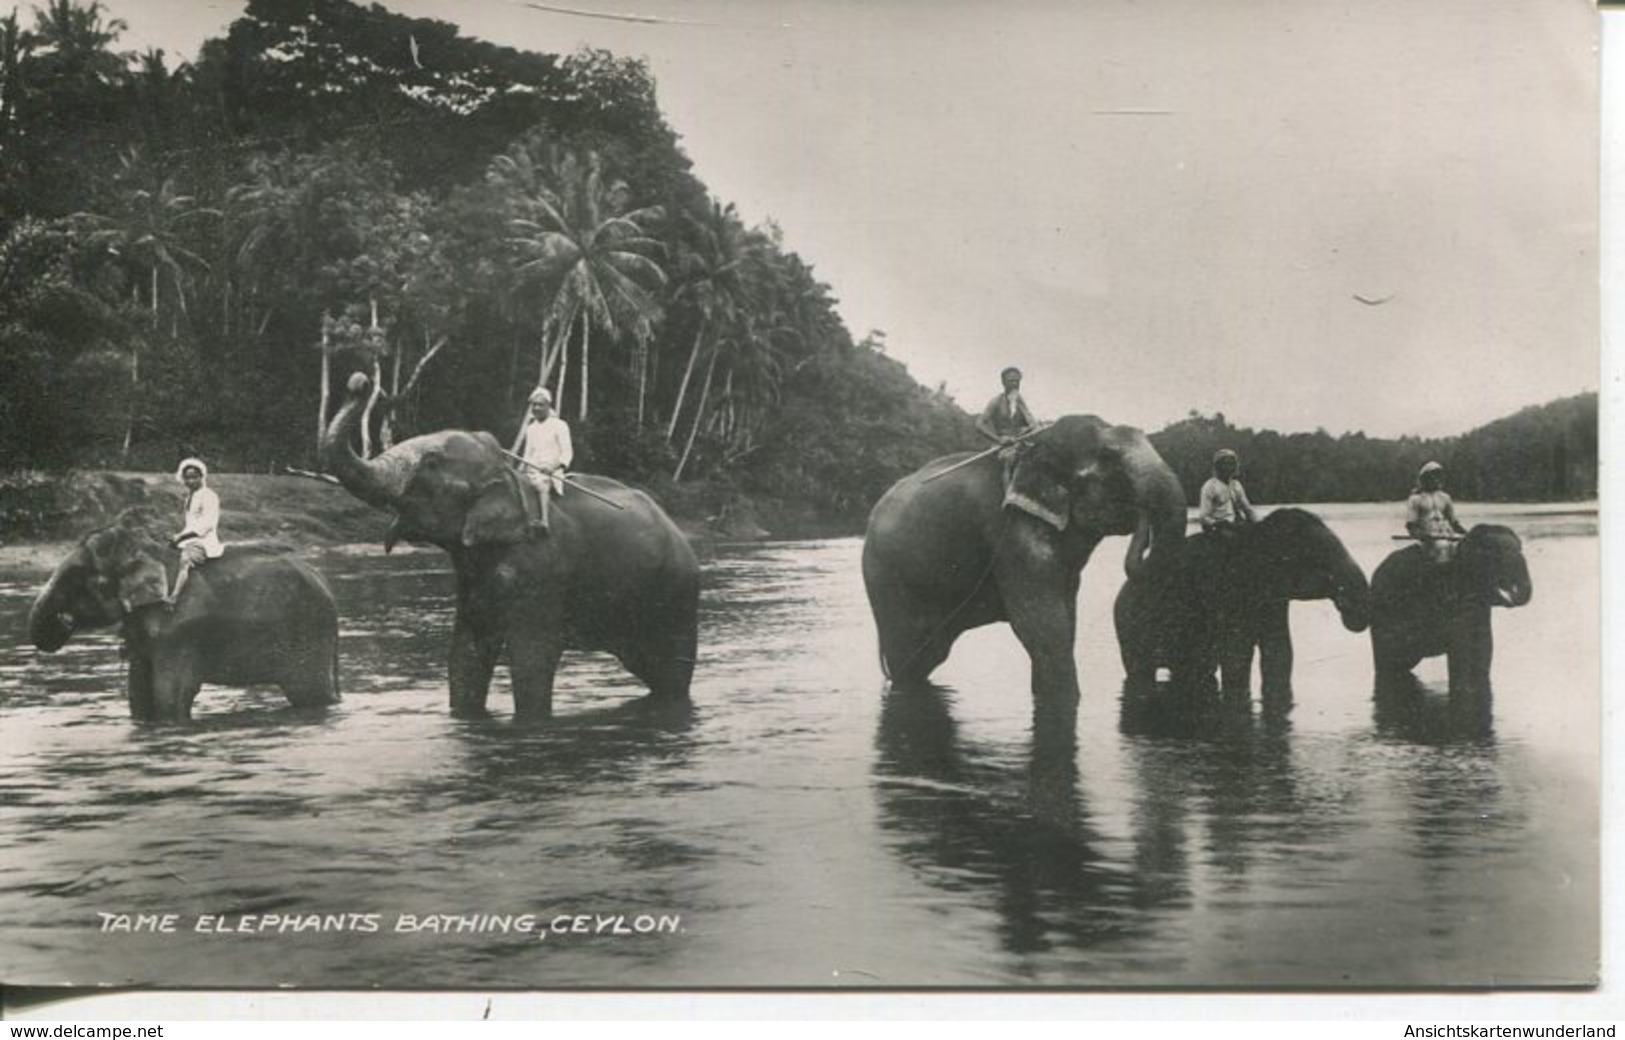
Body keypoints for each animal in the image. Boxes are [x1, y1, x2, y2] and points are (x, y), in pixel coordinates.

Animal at [27, 513, 339, 721]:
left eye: (95, 582)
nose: (63, 620)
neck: (149, 550)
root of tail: (325, 583)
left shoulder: (177, 634)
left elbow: (169, 695)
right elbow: (138, 695)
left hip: (308, 633)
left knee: (310, 693)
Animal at [320, 375, 695, 721]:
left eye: (431, 462)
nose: (359, 383)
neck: (508, 477)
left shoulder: (542, 572)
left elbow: (533, 657)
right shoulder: (473, 578)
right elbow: (466, 653)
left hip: (675, 597)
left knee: (672, 672)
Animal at [858, 409, 1189, 718]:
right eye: (1110, 458)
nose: (1143, 517)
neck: (1035, 447)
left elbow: (1064, 620)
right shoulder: (1012, 531)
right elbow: (1041, 624)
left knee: (930, 656)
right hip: (887, 580)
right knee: (910, 658)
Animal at [1111, 507, 1365, 708]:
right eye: (1318, 559)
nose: (1350, 609)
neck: (1257, 533)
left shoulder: (1274, 600)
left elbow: (1279, 652)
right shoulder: (1226, 591)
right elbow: (1237, 655)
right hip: (1128, 631)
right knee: (1141, 670)